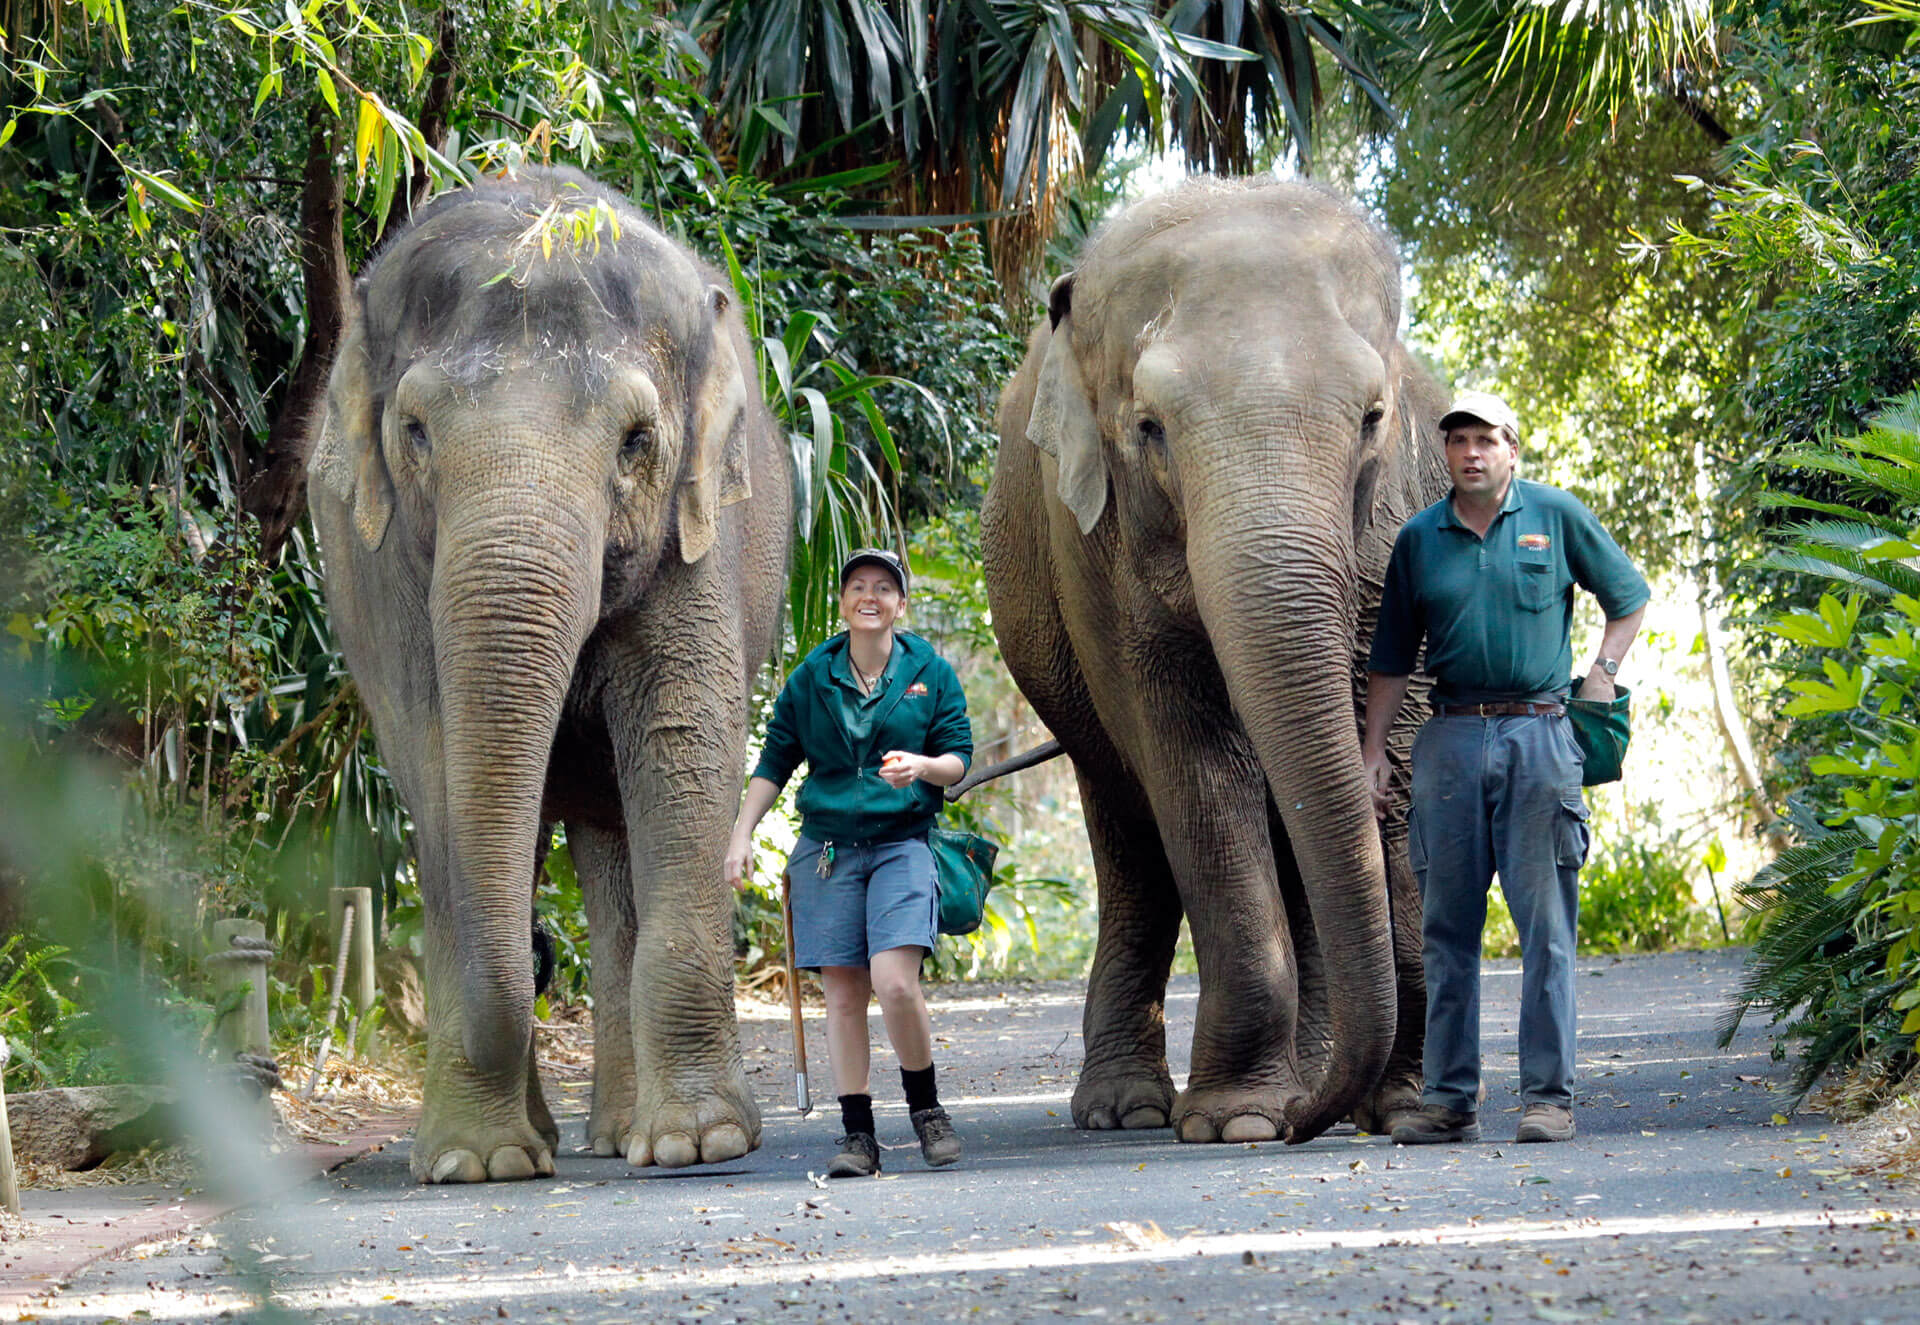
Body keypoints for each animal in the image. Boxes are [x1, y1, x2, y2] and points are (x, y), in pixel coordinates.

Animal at [307, 165, 787, 1175]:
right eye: (415, 431)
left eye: (637, 440)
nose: (537, 954)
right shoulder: (383, 566)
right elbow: (438, 759)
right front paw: (475, 1162)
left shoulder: (698, 537)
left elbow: (684, 742)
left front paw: (703, 1142)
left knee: (610, 845)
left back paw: (620, 1136)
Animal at [990, 175, 1443, 1144]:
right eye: (1150, 427)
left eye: (1373, 418)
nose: (1312, 1118)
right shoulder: (1097, 549)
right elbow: (1190, 761)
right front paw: (1236, 1120)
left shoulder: (1398, 524)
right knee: (1129, 830)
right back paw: (1127, 1108)